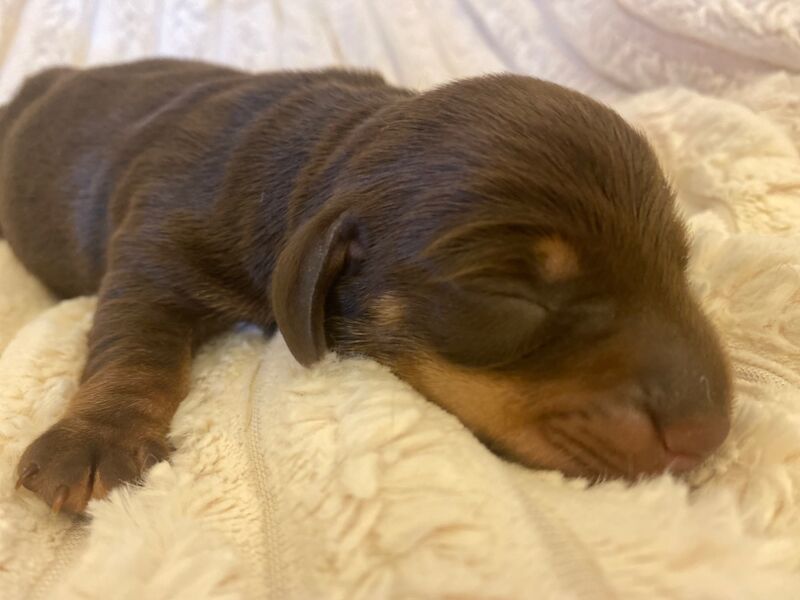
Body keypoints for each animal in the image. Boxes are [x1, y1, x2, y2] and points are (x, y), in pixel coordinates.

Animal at [0, 58, 732, 512]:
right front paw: (97, 439)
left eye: (679, 264)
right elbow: (134, 345)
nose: (708, 436)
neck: (325, 142)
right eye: (508, 293)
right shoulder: (153, 248)